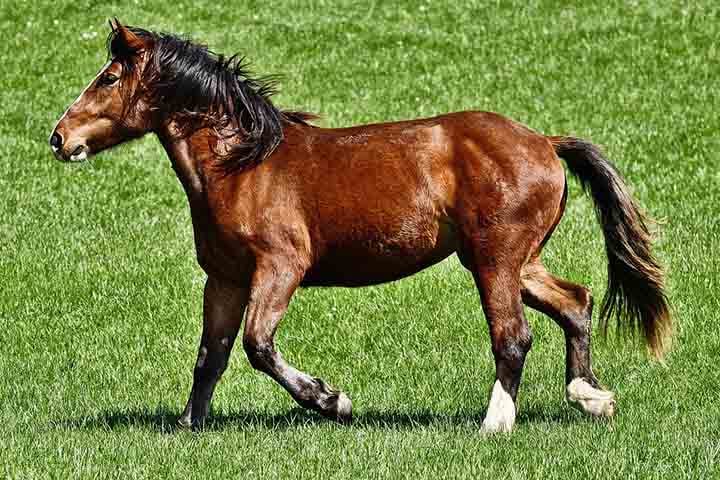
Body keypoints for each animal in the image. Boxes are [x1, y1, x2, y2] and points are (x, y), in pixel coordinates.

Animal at [50, 20, 671, 433]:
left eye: (108, 78)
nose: (59, 138)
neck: (242, 165)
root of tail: (544, 141)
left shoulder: (280, 268)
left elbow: (257, 345)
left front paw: (332, 401)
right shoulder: (224, 279)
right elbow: (212, 355)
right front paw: (188, 426)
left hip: (494, 260)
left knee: (513, 336)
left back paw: (495, 424)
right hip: (517, 260)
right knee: (576, 302)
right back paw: (591, 397)